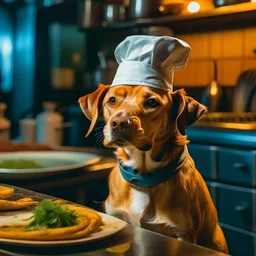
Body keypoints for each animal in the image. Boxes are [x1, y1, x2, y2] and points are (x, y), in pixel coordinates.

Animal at [79, 84, 229, 254]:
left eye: (152, 102)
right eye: (112, 100)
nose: (119, 123)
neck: (143, 176)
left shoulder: (184, 233)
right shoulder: (117, 214)